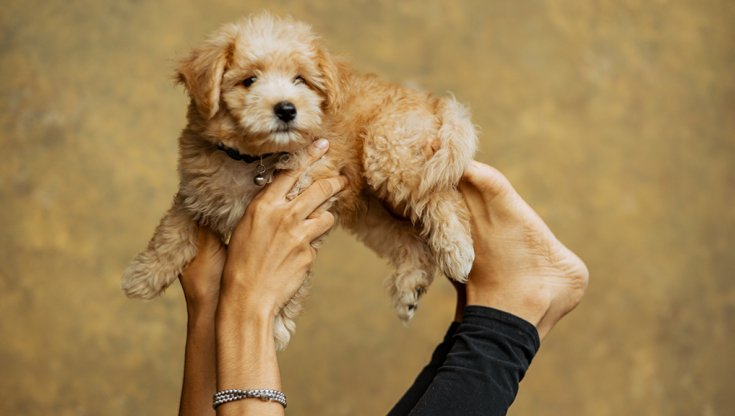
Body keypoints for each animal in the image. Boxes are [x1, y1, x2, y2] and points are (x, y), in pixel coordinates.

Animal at [122, 13, 478, 350]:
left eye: (300, 80)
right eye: (249, 80)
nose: (286, 109)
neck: (256, 158)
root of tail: (430, 102)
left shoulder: (305, 214)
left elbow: (289, 282)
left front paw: (276, 324)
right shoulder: (196, 192)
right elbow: (172, 231)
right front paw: (146, 274)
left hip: (392, 156)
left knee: (441, 196)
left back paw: (457, 251)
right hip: (374, 211)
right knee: (411, 241)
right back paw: (409, 290)